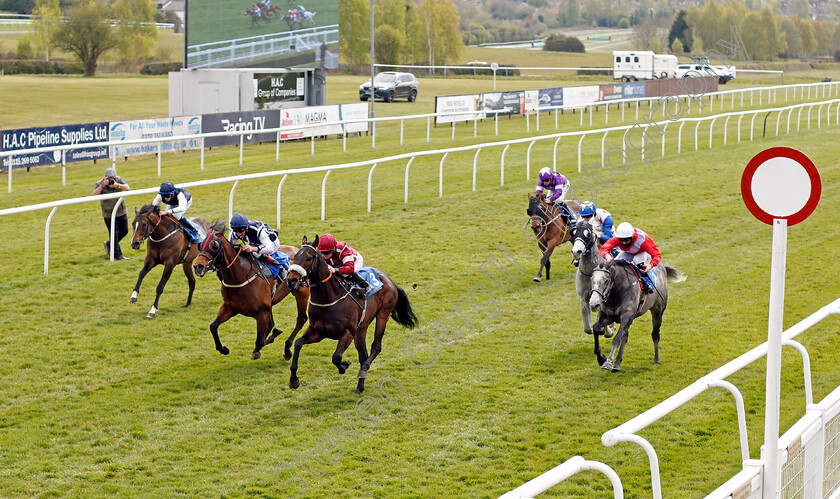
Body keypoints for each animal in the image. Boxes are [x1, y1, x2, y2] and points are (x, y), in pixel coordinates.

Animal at [192, 225, 310, 362]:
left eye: (214, 245)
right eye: (200, 245)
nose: (198, 266)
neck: (240, 277)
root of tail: (298, 249)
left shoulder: (262, 311)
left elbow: (260, 341)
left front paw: (263, 346)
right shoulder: (229, 308)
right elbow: (213, 327)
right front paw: (223, 349)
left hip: (301, 293)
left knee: (301, 319)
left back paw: (287, 350)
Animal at [286, 235, 420, 394]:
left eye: (308, 257)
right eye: (294, 257)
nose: (291, 280)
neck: (329, 298)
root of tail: (390, 280)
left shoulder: (347, 332)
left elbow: (336, 357)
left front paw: (344, 366)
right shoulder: (317, 331)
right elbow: (298, 343)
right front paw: (294, 380)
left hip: (383, 315)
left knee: (376, 347)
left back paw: (363, 370)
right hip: (361, 328)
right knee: (363, 355)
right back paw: (360, 386)